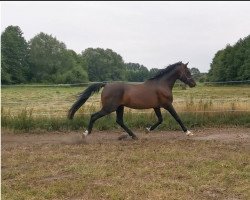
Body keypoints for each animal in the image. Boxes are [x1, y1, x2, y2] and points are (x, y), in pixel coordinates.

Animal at [67, 61, 196, 140]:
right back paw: (85, 133)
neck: (161, 84)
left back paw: (134, 136)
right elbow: (177, 118)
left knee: (119, 121)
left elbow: (160, 120)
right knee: (94, 116)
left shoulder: (156, 106)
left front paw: (147, 130)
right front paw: (188, 132)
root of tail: (106, 84)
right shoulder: (167, 104)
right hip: (109, 108)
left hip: (119, 107)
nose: (193, 84)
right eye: (188, 72)